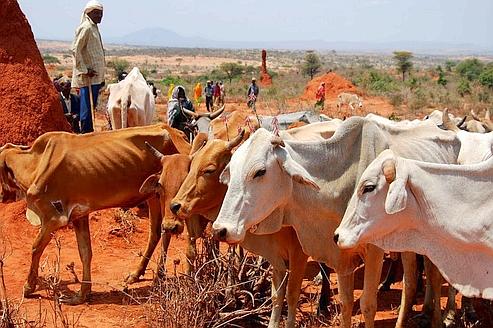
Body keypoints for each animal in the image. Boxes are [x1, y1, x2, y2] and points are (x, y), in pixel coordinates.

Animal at [0, 124, 190, 304]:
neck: (36, 164)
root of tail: (176, 133)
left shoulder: (53, 218)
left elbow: (35, 247)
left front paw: (29, 287)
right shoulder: (79, 215)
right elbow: (85, 252)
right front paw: (82, 295)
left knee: (169, 231)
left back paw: (159, 277)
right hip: (154, 196)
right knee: (158, 232)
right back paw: (139, 274)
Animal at [211, 118, 462, 328]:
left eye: (260, 172)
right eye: (232, 169)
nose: (221, 229)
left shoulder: (374, 250)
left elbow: (367, 304)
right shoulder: (340, 255)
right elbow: (346, 303)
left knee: (433, 276)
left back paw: (438, 320)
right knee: (410, 283)